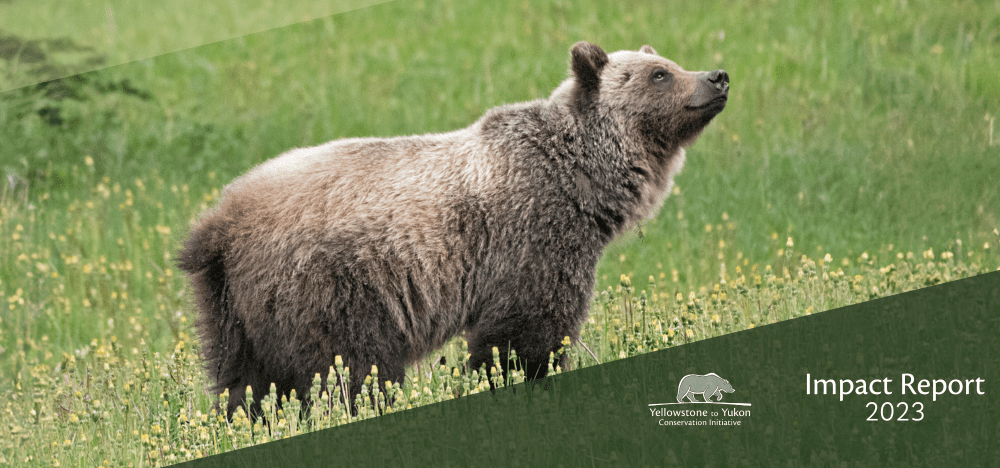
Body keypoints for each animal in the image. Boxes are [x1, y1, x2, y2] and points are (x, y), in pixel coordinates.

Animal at [178, 42, 729, 418]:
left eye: (669, 62)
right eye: (660, 74)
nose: (717, 76)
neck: (583, 182)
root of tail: (219, 223)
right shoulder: (533, 236)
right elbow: (525, 332)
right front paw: (523, 380)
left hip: (234, 310)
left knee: (246, 382)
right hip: (329, 289)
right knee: (348, 368)